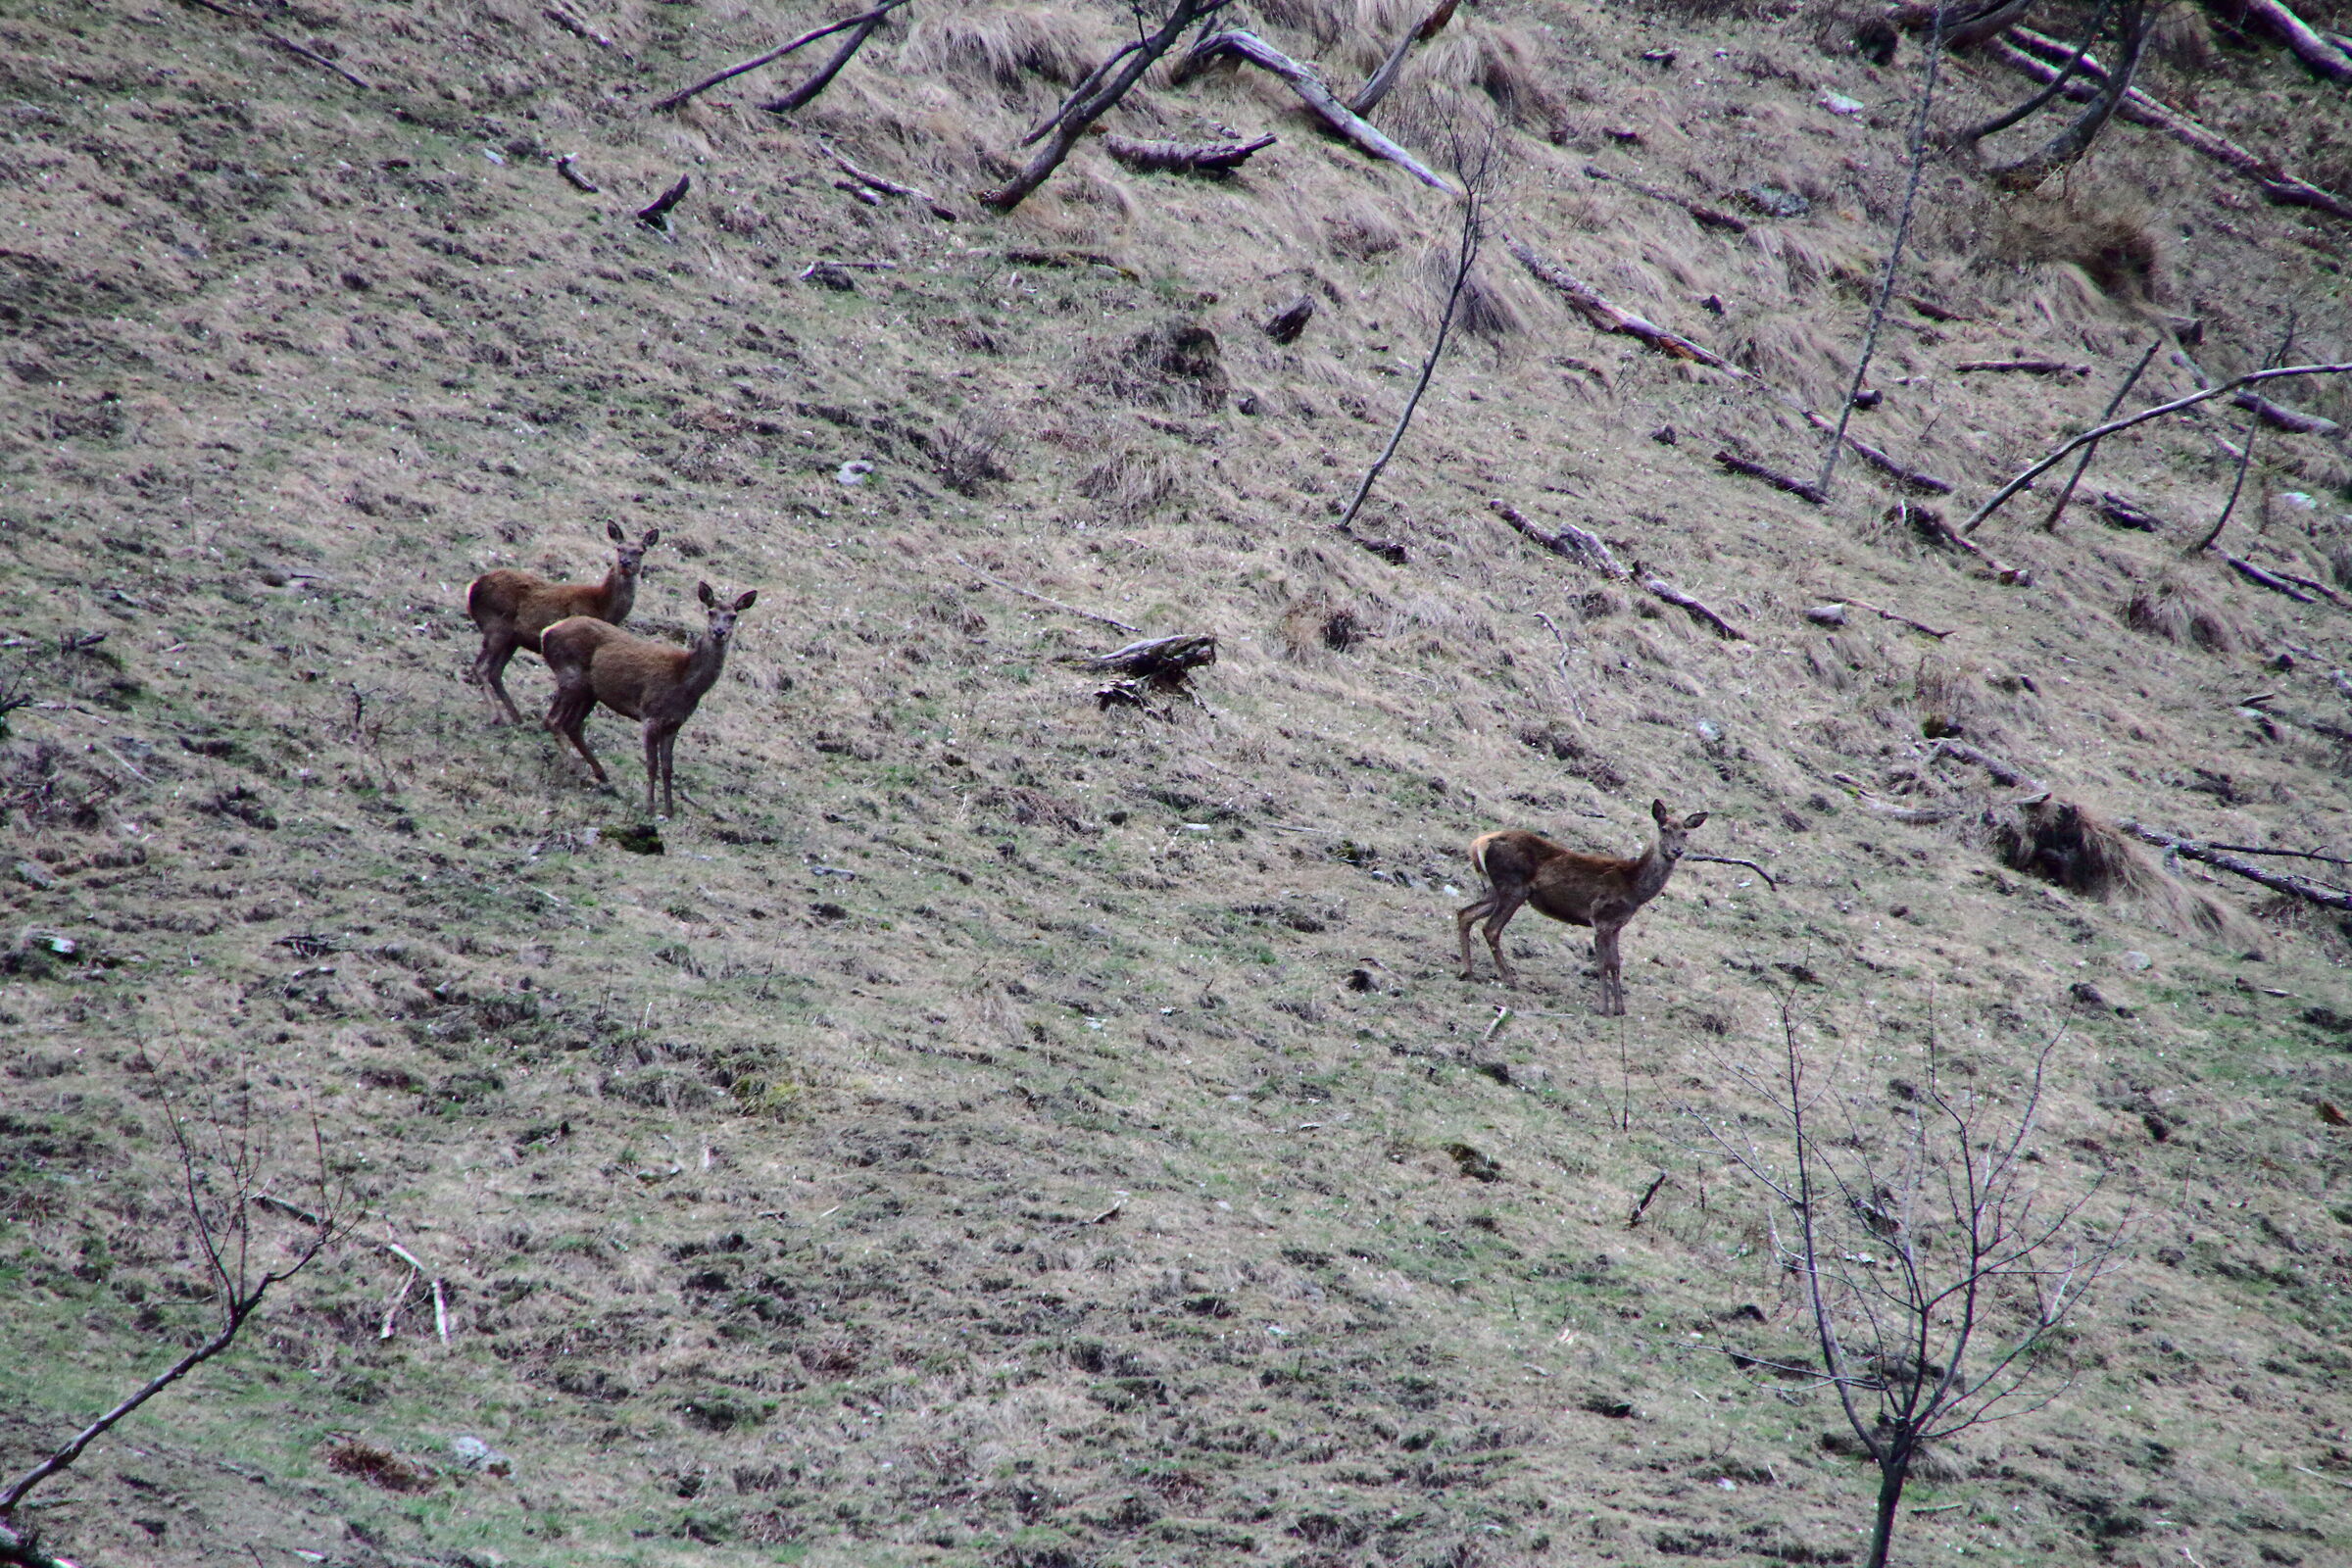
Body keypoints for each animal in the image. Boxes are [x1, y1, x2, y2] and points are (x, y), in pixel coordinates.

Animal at [466, 522, 661, 723]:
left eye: (640, 551)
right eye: (619, 548)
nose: (625, 562)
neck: (602, 606)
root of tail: (473, 587)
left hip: (513, 638)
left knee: (495, 672)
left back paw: (517, 718)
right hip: (497, 624)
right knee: (480, 668)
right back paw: (497, 717)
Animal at [542, 581, 757, 818]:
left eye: (733, 616)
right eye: (711, 612)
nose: (719, 632)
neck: (685, 684)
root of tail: (548, 631)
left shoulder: (673, 724)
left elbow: (668, 767)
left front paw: (670, 810)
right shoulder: (651, 715)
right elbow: (652, 764)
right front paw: (650, 807)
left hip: (591, 692)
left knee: (572, 725)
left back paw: (602, 775)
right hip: (571, 676)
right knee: (552, 721)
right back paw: (574, 767)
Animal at [1454, 799, 1709, 1015]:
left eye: (1685, 833)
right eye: (1664, 829)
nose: (1677, 851)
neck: (1634, 888)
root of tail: (1478, 843)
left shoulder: (1616, 925)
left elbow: (1616, 964)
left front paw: (1620, 1009)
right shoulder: (1601, 917)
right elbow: (1602, 964)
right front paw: (1603, 1008)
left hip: (1494, 890)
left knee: (1464, 913)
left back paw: (1467, 971)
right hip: (1513, 887)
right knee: (1491, 928)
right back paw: (1509, 979)